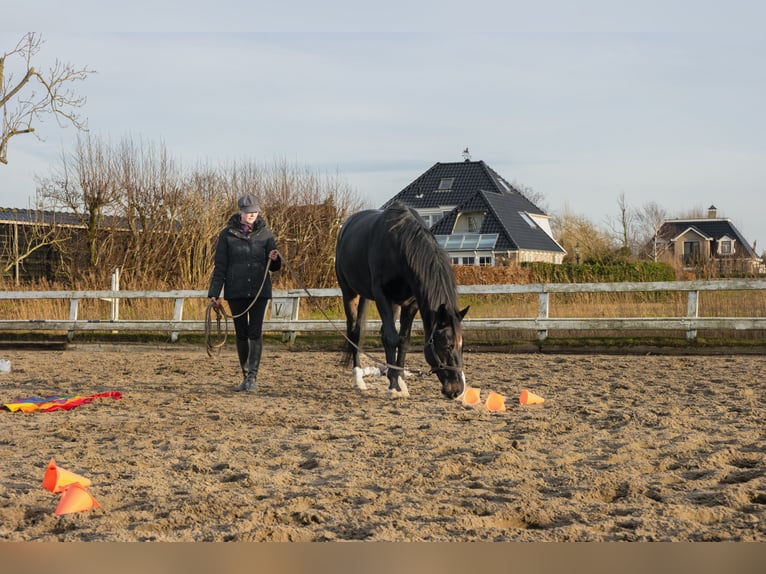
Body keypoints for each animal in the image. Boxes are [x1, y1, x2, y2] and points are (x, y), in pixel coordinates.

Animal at [334, 202, 469, 399]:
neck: (399, 247)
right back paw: (358, 380)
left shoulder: (410, 303)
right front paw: (393, 387)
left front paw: (399, 381)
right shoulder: (382, 296)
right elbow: (391, 338)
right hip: (350, 293)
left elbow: (403, 340)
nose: (457, 390)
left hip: (388, 302)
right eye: (446, 345)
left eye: (462, 345)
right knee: (355, 332)